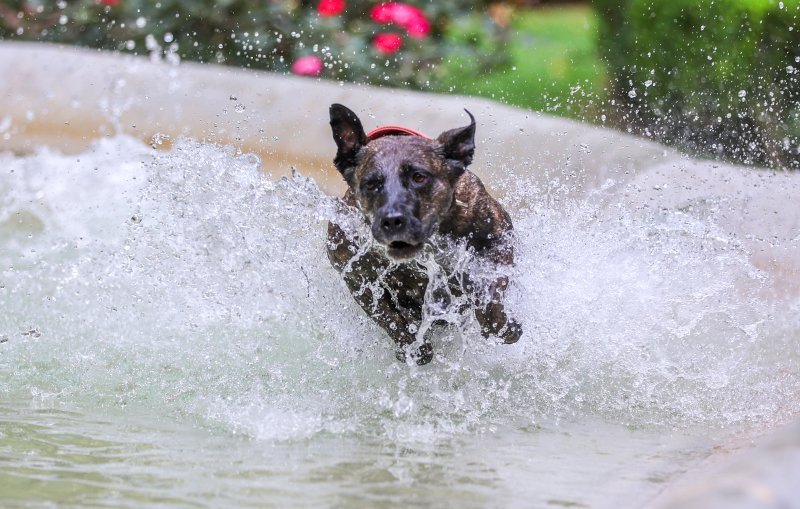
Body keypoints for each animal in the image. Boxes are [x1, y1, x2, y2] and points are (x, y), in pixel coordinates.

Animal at [326, 104, 524, 366]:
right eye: (370, 184)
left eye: (419, 177)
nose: (393, 219)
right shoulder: (356, 275)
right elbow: (386, 315)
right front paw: (414, 348)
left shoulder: (498, 240)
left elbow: (490, 296)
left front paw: (502, 326)